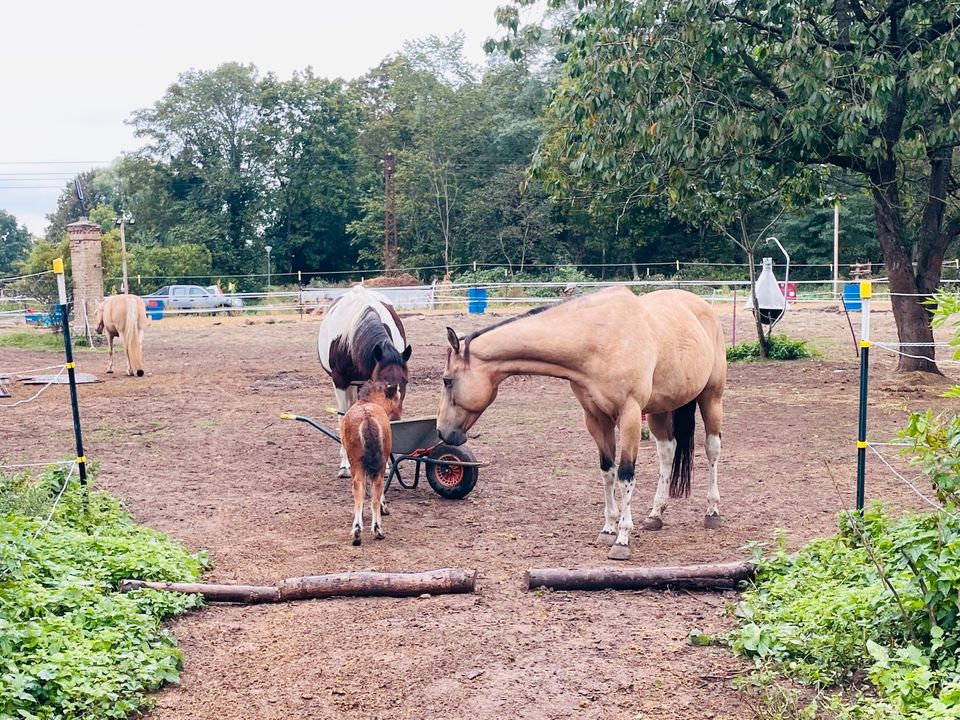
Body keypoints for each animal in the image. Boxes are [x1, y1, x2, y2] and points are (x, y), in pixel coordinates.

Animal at [318, 286, 412, 478]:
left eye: (405, 381)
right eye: (382, 382)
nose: (396, 419)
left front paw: (387, 465)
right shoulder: (340, 381)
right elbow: (343, 417)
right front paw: (345, 465)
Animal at [342, 380, 402, 544]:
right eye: (398, 397)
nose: (399, 417)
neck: (368, 401)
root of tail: (367, 417)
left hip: (357, 463)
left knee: (359, 489)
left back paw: (359, 530)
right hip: (375, 464)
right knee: (374, 491)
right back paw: (375, 529)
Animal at [436, 288, 728, 564]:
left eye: (447, 381)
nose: (442, 432)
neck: (598, 340)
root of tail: (702, 308)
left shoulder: (630, 415)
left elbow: (625, 475)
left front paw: (623, 539)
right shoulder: (596, 419)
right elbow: (607, 472)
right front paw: (608, 528)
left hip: (711, 398)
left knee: (712, 449)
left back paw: (712, 512)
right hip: (660, 410)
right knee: (667, 453)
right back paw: (656, 514)